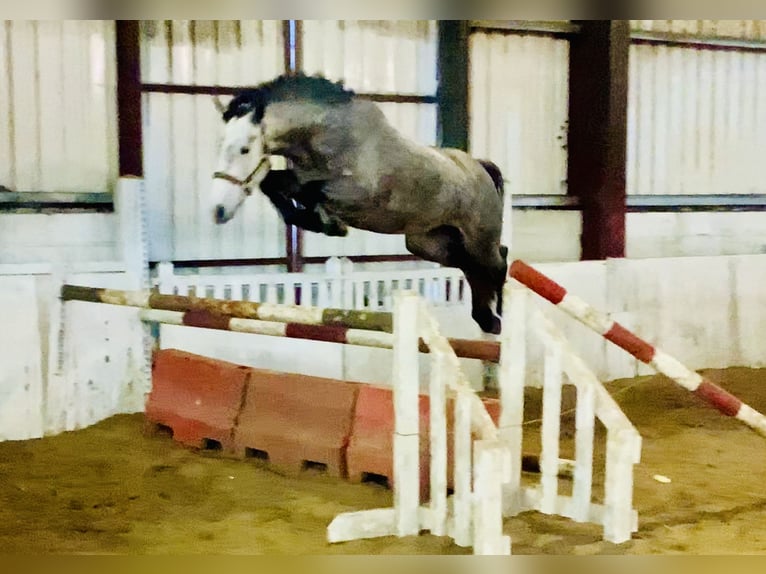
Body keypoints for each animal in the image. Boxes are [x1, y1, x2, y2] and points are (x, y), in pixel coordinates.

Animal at [209, 73, 509, 334]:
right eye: (221, 145)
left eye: (244, 149)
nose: (218, 212)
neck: (326, 137)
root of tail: (479, 167)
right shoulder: (298, 177)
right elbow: (273, 183)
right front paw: (315, 220)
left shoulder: (360, 194)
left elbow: (312, 191)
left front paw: (328, 223)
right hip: (429, 243)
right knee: (472, 266)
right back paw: (484, 319)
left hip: (478, 239)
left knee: (498, 262)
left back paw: (499, 318)